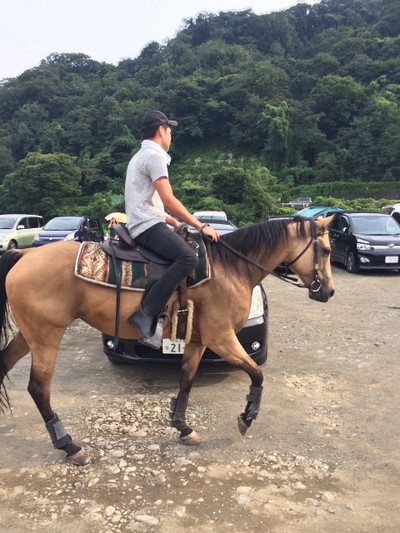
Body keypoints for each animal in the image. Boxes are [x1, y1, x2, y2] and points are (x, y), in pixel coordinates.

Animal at [0, 214, 334, 464]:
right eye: (327, 251)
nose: (328, 291)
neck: (231, 268)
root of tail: (24, 256)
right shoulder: (222, 338)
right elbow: (257, 374)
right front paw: (247, 416)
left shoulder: (198, 341)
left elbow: (186, 380)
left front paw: (182, 427)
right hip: (46, 336)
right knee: (38, 389)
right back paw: (69, 446)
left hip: (30, 336)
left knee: (5, 365)